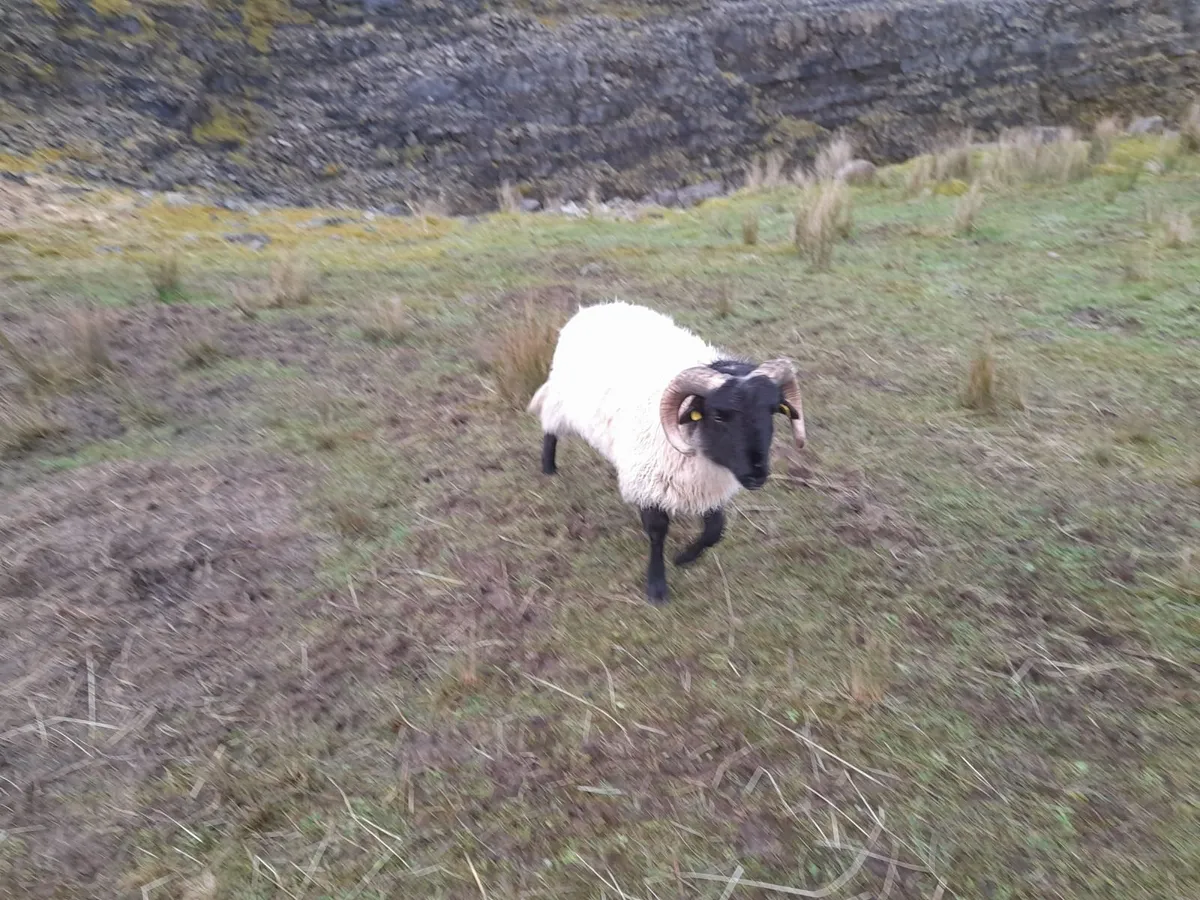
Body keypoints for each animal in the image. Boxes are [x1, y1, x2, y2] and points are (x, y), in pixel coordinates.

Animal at [527, 301, 806, 605]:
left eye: (772, 411)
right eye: (719, 415)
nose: (757, 474)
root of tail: (593, 307)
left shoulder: (708, 486)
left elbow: (715, 530)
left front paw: (683, 557)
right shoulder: (649, 481)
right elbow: (657, 532)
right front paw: (657, 586)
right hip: (561, 401)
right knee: (550, 427)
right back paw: (548, 467)